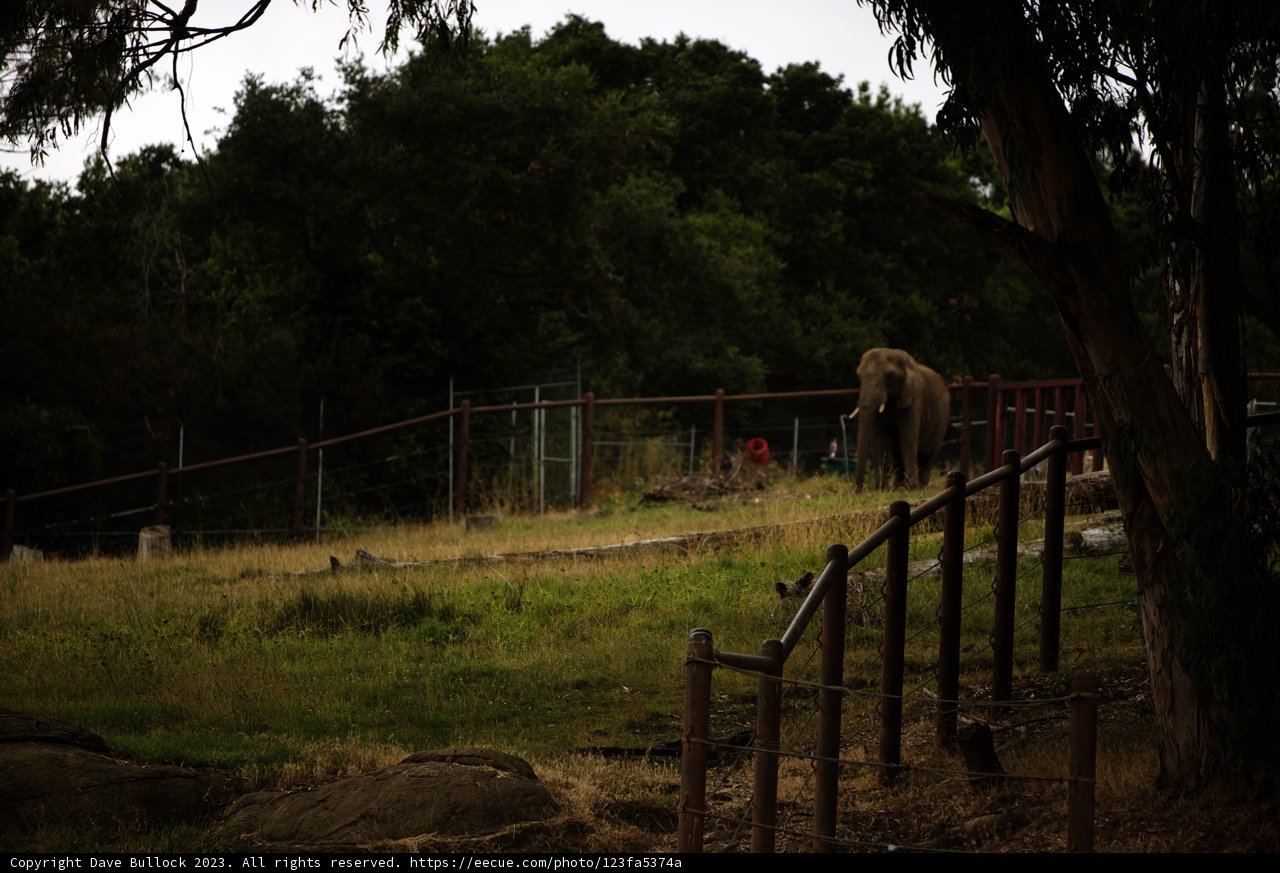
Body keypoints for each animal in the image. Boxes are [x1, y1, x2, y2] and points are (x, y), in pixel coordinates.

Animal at [849, 348, 951, 491]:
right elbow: (879, 440)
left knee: (929, 454)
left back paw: (920, 488)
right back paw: (897, 488)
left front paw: (911, 490)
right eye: (859, 376)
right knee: (897, 453)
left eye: (890, 377)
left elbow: (907, 438)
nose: (858, 491)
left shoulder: (914, 399)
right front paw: (882, 490)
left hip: (944, 420)